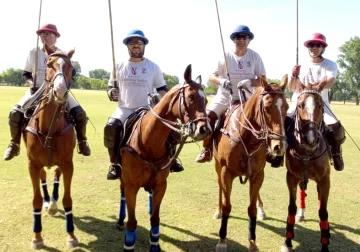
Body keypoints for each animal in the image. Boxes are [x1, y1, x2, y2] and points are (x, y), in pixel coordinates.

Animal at [23, 49, 78, 250]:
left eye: (72, 68)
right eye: (48, 64)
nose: (60, 91)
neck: (50, 128)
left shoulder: (68, 163)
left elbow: (67, 198)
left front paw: (71, 235)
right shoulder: (32, 164)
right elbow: (36, 200)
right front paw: (37, 238)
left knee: (55, 174)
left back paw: (53, 203)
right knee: (43, 177)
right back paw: (48, 202)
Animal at [118, 65, 211, 252]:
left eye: (205, 101)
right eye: (190, 97)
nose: (204, 129)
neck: (149, 142)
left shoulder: (161, 184)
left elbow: (155, 219)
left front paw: (155, 245)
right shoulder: (132, 185)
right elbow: (132, 222)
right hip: (122, 175)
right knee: (121, 190)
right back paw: (119, 220)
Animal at [212, 75, 288, 252]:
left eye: (287, 107)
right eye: (267, 107)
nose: (279, 147)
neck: (246, 136)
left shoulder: (258, 174)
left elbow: (251, 208)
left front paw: (252, 242)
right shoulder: (226, 172)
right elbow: (227, 205)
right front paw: (222, 240)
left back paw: (262, 210)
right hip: (217, 165)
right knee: (219, 187)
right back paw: (218, 210)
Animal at [282, 79, 332, 252]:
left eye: (321, 105)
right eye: (299, 105)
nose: (310, 139)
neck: (307, 152)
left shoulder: (324, 179)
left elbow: (323, 211)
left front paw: (325, 244)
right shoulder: (291, 177)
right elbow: (291, 207)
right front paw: (288, 241)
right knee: (303, 190)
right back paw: (301, 214)